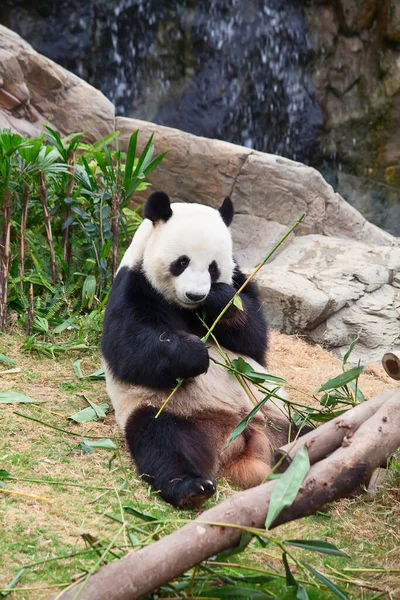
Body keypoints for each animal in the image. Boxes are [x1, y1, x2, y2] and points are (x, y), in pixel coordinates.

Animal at [101, 191, 292, 506]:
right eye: (181, 262)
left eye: (213, 267)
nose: (196, 294)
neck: (187, 309)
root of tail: (239, 436)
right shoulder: (133, 286)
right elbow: (128, 349)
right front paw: (194, 354)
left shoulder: (240, 279)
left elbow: (254, 338)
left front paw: (220, 302)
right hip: (172, 412)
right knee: (163, 443)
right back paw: (191, 488)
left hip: (278, 415)